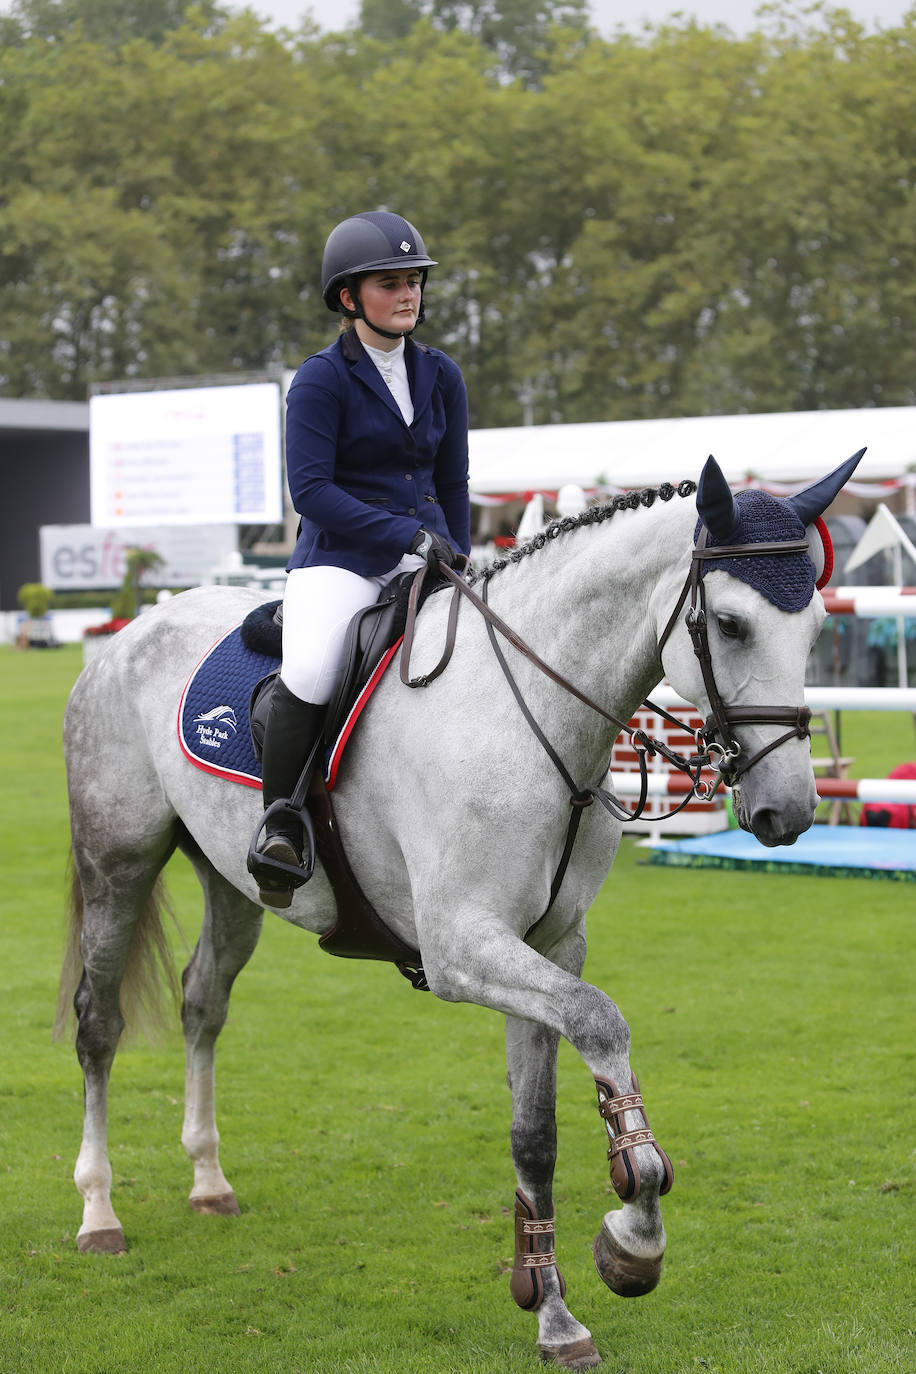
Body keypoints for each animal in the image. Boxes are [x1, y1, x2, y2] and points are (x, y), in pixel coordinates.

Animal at [57, 456, 862, 1368]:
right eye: (728, 623)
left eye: (815, 630)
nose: (789, 812)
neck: (529, 715)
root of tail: (132, 630)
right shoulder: (462, 949)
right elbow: (604, 1021)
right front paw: (634, 1229)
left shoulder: (550, 945)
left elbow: (536, 1129)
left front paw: (555, 1310)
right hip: (117, 863)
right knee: (99, 1025)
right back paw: (98, 1213)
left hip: (234, 884)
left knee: (203, 1002)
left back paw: (208, 1181)